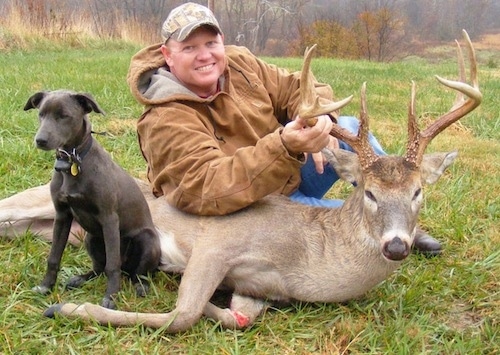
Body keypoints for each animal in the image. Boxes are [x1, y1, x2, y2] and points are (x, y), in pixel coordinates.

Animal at [23, 90, 160, 310]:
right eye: (41, 114)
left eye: (64, 116)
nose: (40, 140)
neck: (73, 162)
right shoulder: (61, 216)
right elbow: (53, 257)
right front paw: (45, 287)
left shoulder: (109, 218)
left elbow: (113, 265)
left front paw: (110, 297)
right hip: (91, 238)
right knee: (100, 268)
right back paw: (80, 278)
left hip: (146, 240)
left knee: (136, 273)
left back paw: (140, 286)